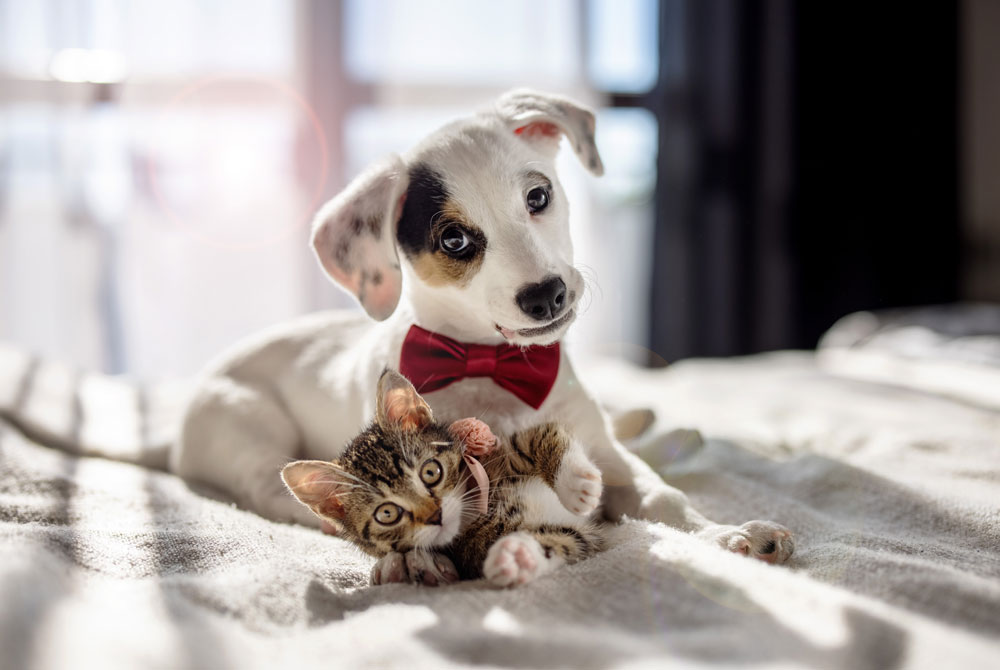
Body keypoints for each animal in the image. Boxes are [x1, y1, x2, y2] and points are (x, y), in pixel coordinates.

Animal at [174, 89, 796, 568]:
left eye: (539, 196)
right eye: (453, 240)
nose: (547, 296)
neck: (493, 363)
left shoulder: (604, 451)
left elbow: (664, 500)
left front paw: (727, 533)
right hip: (249, 424)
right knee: (265, 490)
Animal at [284, 370, 608, 592]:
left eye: (431, 472)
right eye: (387, 514)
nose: (435, 516)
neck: (479, 508)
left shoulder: (505, 450)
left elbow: (541, 435)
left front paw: (578, 484)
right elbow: (563, 539)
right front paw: (517, 557)